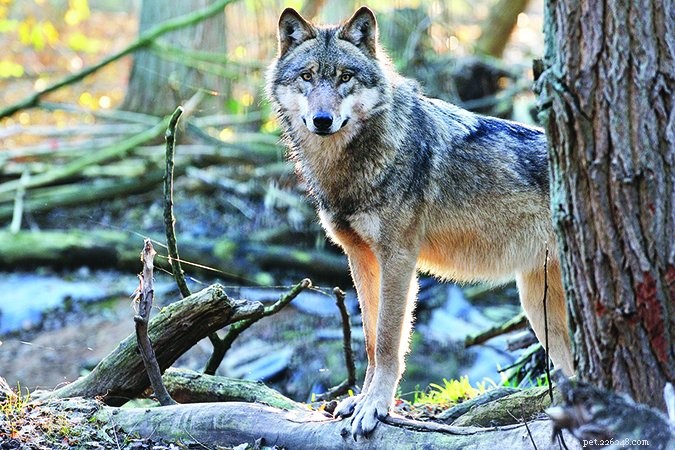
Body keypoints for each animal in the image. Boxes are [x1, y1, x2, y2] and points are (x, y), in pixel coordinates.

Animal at [266, 6, 574, 437]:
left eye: (345, 77)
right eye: (307, 76)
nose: (322, 120)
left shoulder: (399, 258)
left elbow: (389, 340)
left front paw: (374, 408)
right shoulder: (360, 258)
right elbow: (370, 340)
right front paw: (359, 401)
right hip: (538, 307)